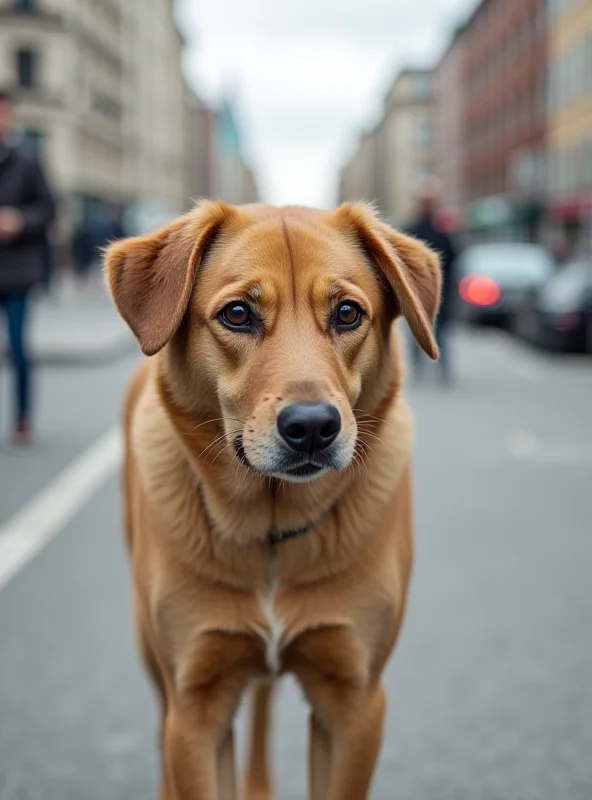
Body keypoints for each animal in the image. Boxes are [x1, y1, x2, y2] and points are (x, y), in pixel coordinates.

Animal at [105, 200, 440, 800]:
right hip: (154, 653)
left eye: (348, 313)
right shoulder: (195, 707)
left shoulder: (354, 702)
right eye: (238, 314)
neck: (271, 527)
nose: (312, 427)